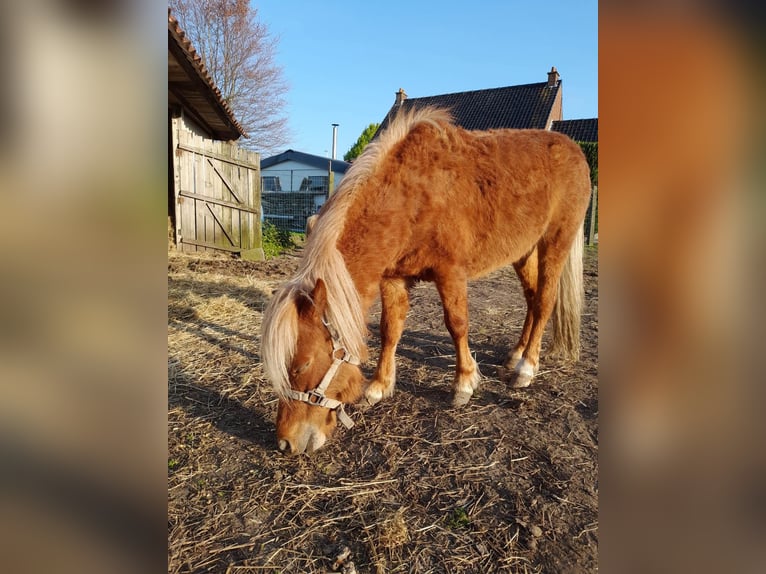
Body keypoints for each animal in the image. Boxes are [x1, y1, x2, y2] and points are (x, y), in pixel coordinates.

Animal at [261, 107, 591, 454]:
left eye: (301, 365)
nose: (285, 443)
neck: (411, 195)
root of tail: (575, 150)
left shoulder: (451, 272)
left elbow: (457, 324)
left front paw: (464, 383)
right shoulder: (394, 278)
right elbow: (390, 330)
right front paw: (378, 386)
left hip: (555, 243)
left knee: (543, 302)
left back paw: (526, 369)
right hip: (523, 252)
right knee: (530, 298)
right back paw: (515, 355)